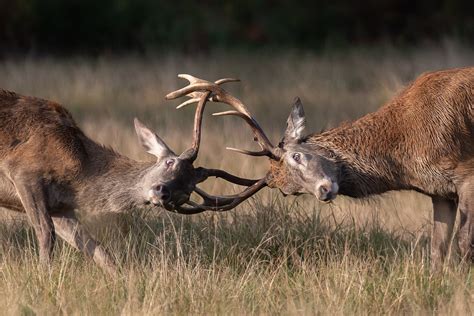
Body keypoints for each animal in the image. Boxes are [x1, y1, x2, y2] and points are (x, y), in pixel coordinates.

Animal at [0, 78, 256, 272]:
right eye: (170, 162)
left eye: (184, 195)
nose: (162, 192)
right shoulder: (23, 170)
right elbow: (46, 233)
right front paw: (44, 276)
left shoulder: (61, 207)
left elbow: (97, 249)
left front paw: (120, 280)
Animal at [167, 68, 474, 266]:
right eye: (288, 191)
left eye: (297, 156)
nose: (324, 190)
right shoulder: (440, 192)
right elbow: (437, 250)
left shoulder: (466, 174)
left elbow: (464, 245)